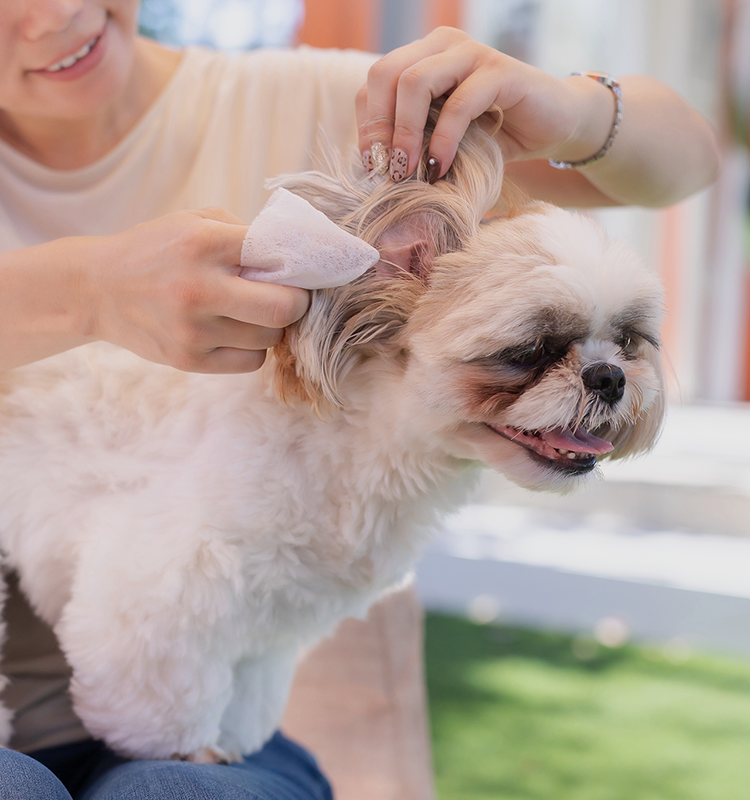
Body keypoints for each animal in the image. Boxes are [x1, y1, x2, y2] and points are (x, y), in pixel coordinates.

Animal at [0, 112, 668, 764]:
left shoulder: (272, 620)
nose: (608, 377)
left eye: (628, 341)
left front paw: (235, 739)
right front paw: (187, 748)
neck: (355, 446)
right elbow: (164, 692)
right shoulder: (163, 586)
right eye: (530, 350)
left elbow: (250, 687)